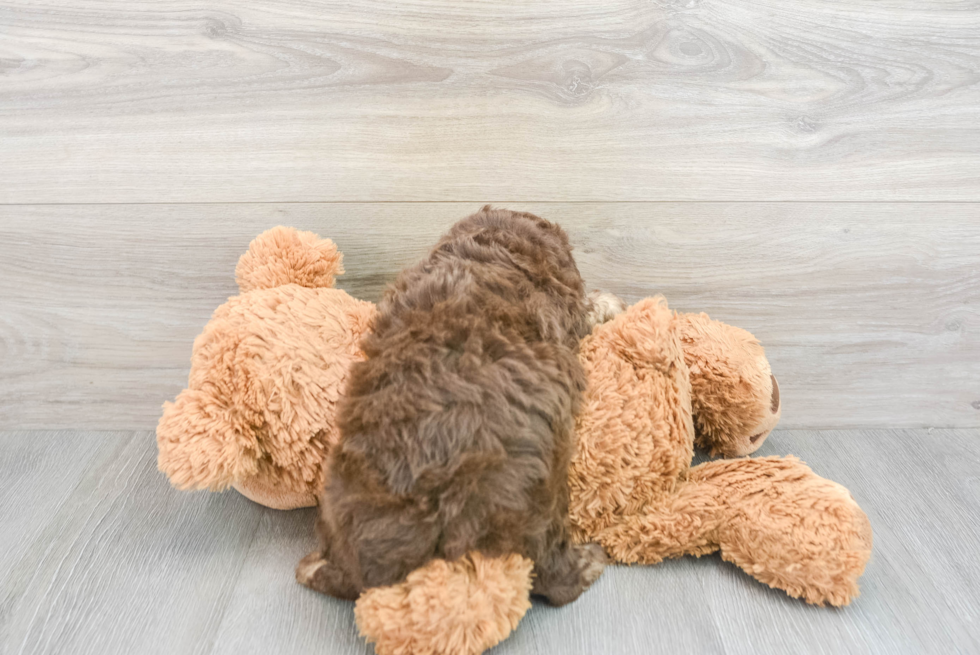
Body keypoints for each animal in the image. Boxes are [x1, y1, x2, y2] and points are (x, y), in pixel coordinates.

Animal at [296, 208, 604, 608]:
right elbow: (587, 309)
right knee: (552, 575)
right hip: (535, 498)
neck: (497, 244)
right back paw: (589, 561)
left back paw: (314, 567)